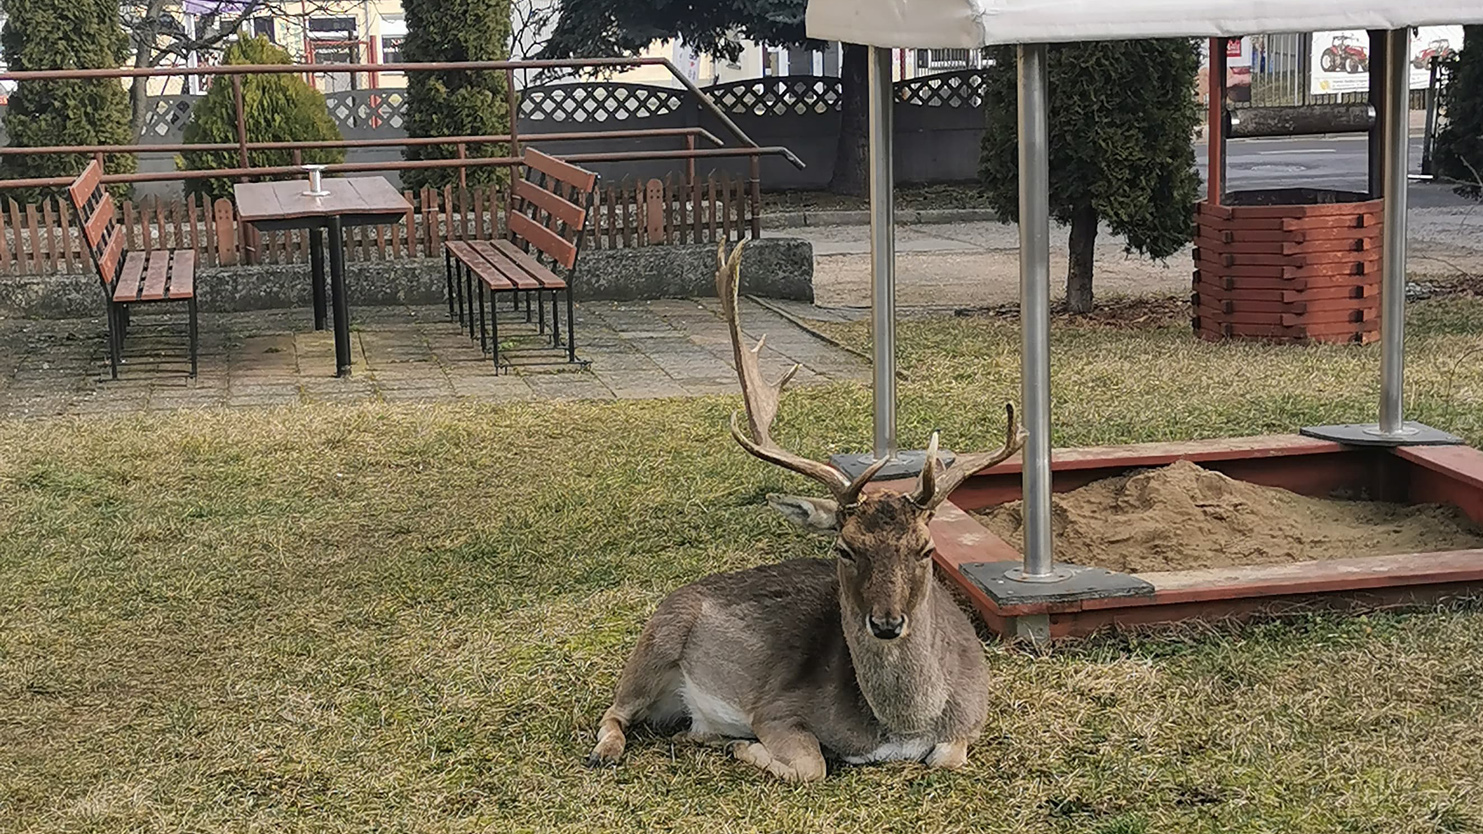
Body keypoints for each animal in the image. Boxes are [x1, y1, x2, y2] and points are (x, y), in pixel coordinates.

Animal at [584, 240, 1026, 777]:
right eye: (844, 548)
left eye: (926, 548)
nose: (886, 623)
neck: (902, 727)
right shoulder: (775, 707)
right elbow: (812, 764)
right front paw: (743, 747)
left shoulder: (972, 718)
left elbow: (948, 757)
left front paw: (728, 744)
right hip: (654, 643)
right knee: (614, 709)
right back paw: (612, 750)